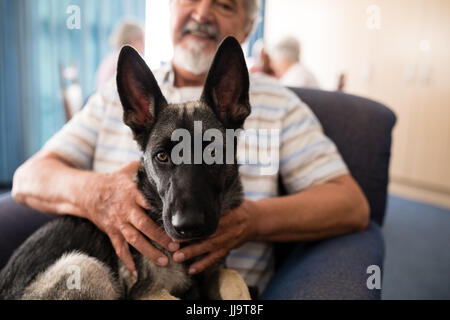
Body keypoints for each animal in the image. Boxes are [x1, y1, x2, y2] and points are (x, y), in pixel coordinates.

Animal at [0, 37, 253, 300]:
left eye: (213, 152)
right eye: (162, 156)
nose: (188, 225)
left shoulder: (215, 271)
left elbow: (235, 279)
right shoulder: (145, 290)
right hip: (86, 266)